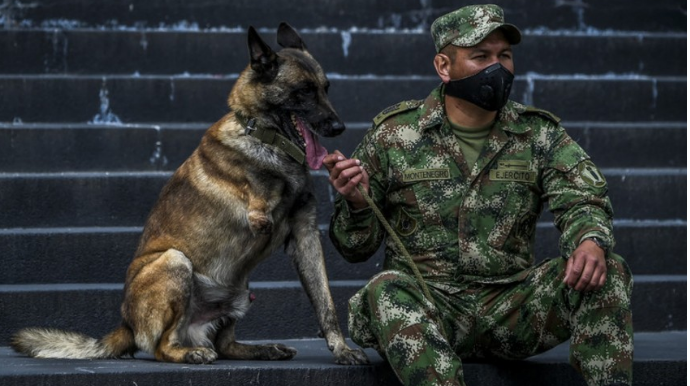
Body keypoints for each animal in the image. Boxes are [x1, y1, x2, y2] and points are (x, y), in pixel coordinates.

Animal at [10, 22, 368, 366]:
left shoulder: (305, 235)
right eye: (304, 91)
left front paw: (341, 349)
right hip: (175, 261)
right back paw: (191, 354)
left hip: (239, 292)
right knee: (162, 347)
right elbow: (262, 203)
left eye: (326, 88)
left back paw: (264, 349)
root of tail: (126, 326)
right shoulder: (260, 216)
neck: (264, 137)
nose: (339, 128)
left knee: (225, 345)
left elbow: (325, 303)